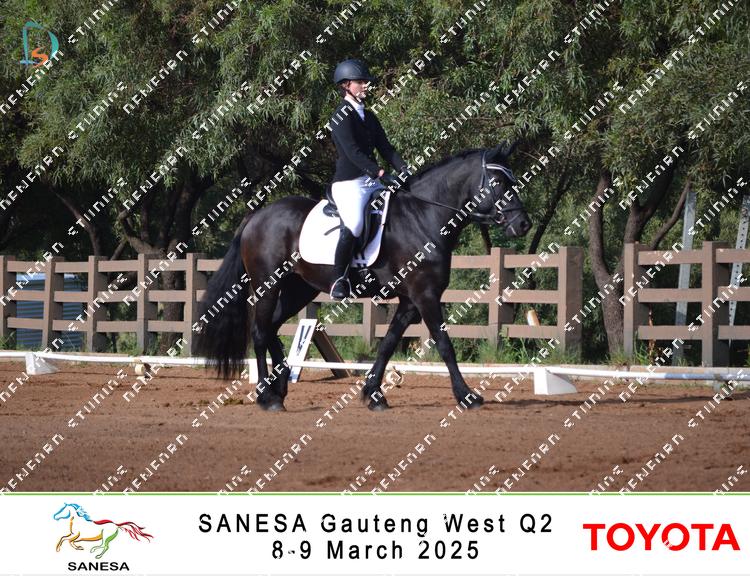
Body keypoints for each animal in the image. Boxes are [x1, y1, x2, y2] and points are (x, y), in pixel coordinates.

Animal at [194, 141, 531, 411]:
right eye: (499, 182)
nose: (524, 224)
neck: (423, 218)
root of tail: (256, 216)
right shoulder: (425, 296)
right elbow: (444, 343)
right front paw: (467, 396)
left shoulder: (410, 301)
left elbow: (388, 344)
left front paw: (374, 395)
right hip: (268, 284)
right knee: (261, 331)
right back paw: (268, 398)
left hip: (298, 289)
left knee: (272, 328)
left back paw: (281, 389)